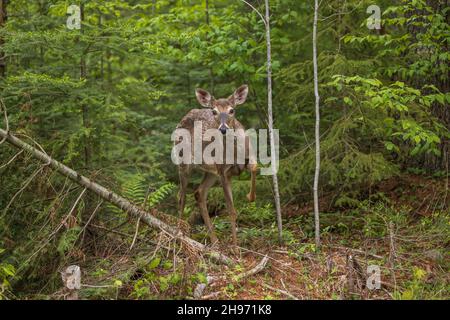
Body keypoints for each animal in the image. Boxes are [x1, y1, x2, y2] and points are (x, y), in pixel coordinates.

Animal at [175, 85, 256, 248]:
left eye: (232, 110)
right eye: (214, 111)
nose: (223, 129)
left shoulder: (243, 162)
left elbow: (255, 168)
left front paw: (250, 196)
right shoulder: (223, 171)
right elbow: (231, 210)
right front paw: (236, 249)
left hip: (210, 172)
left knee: (199, 193)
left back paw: (215, 241)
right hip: (184, 162)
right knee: (181, 196)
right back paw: (180, 233)